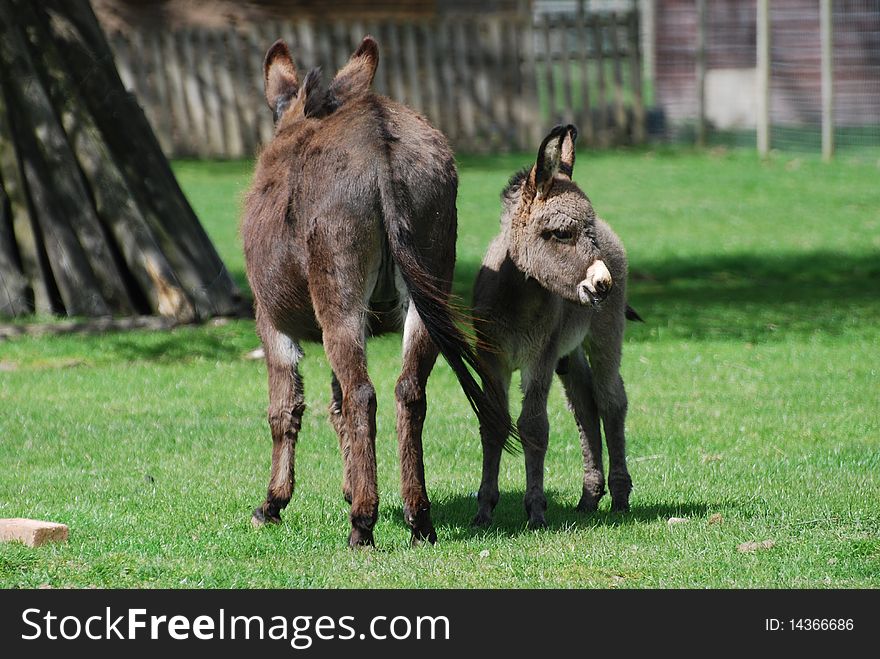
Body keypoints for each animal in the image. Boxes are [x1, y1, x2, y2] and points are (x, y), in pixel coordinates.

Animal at [474, 125, 632, 532]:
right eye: (560, 233)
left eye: (589, 233)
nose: (603, 285)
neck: (515, 299)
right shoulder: (492, 360)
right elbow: (493, 424)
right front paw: (484, 510)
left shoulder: (539, 358)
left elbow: (533, 427)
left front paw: (536, 510)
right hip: (569, 351)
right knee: (584, 403)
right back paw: (589, 497)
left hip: (605, 334)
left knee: (610, 399)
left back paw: (620, 497)